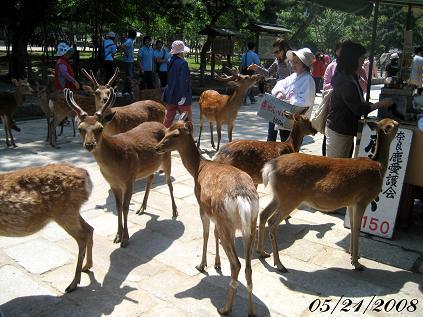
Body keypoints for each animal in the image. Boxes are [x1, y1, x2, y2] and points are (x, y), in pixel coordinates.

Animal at [0, 163, 93, 292]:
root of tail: (86, 176)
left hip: (65, 211)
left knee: (82, 236)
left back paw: (73, 283)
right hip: (71, 211)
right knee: (89, 229)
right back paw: (87, 266)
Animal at [63, 87, 178, 247]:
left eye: (100, 128)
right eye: (80, 128)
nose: (90, 144)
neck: (115, 166)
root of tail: (164, 126)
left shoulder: (129, 179)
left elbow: (125, 207)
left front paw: (125, 239)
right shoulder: (113, 183)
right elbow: (117, 207)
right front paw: (117, 236)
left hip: (167, 158)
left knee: (169, 183)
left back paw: (174, 211)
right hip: (150, 165)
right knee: (150, 178)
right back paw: (142, 208)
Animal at [156, 112, 260, 314]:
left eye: (175, 134)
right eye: (166, 130)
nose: (157, 147)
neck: (199, 168)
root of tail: (243, 199)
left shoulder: (202, 207)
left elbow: (205, 234)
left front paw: (202, 264)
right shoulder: (215, 216)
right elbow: (214, 233)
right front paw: (216, 263)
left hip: (226, 222)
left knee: (236, 263)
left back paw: (225, 308)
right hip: (250, 223)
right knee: (249, 267)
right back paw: (251, 312)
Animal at [258, 118, 400, 272]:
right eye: (392, 124)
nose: (399, 123)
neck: (379, 166)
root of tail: (269, 168)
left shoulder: (351, 202)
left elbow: (353, 227)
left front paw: (352, 255)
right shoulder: (363, 199)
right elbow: (357, 228)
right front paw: (357, 263)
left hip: (278, 196)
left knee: (263, 214)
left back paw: (262, 253)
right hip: (290, 197)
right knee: (272, 221)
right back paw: (279, 264)